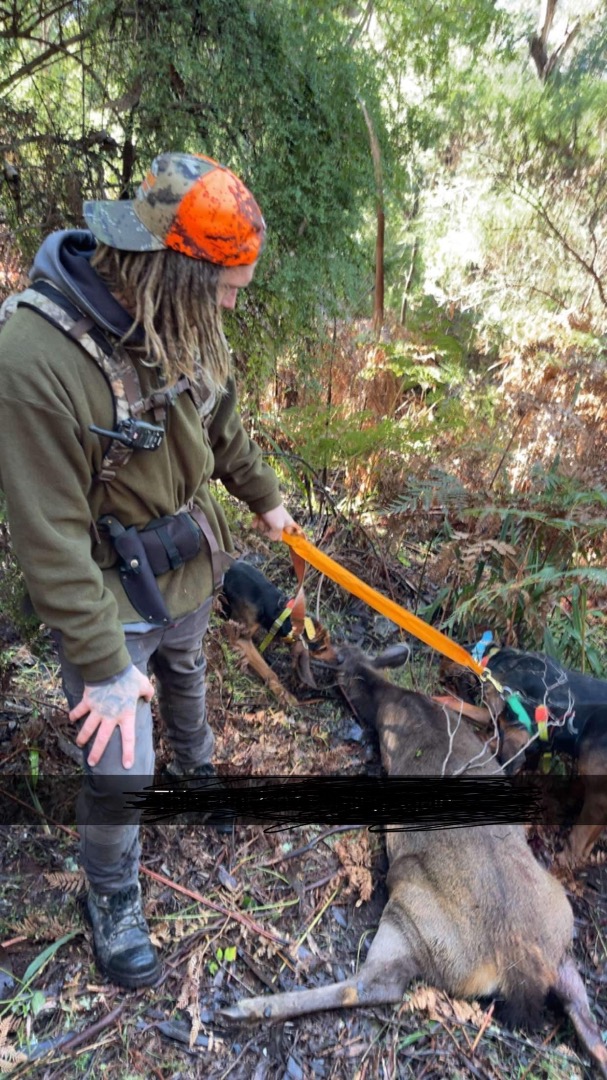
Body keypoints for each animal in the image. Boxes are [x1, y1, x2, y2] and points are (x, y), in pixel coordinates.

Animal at [220, 642, 607, 1078]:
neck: (397, 698)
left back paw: (250, 1008)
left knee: (373, 984)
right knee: (588, 1019)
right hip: (562, 942)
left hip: (414, 916)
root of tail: (519, 964)